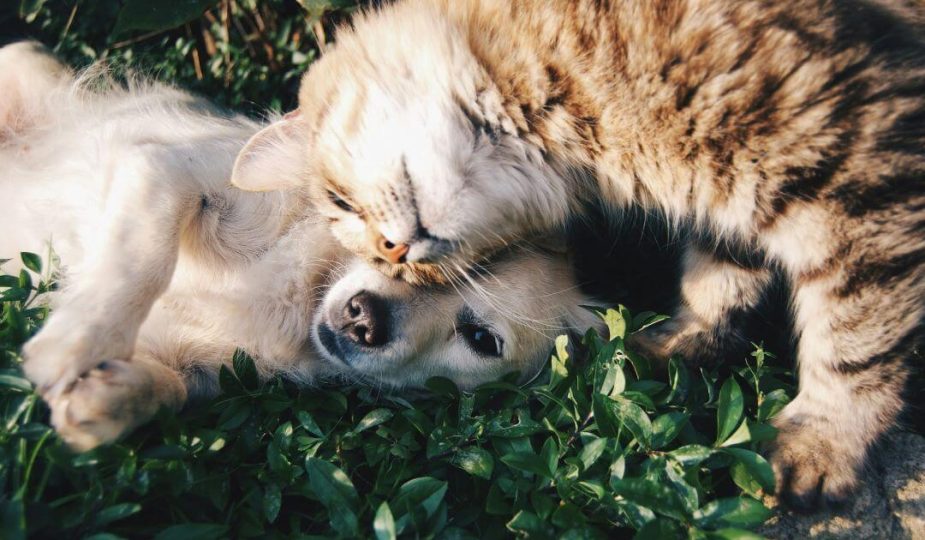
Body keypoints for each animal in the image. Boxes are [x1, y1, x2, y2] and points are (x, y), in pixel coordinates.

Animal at [1, 43, 600, 452]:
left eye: (480, 339)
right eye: (393, 246)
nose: (364, 319)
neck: (302, 295)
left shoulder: (198, 367)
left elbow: (168, 389)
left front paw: (106, 398)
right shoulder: (166, 170)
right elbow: (141, 259)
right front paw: (76, 342)